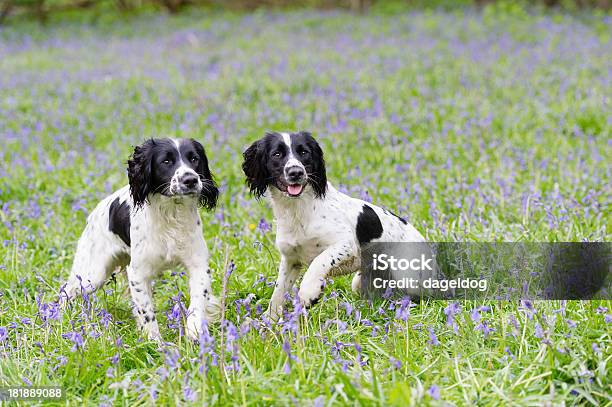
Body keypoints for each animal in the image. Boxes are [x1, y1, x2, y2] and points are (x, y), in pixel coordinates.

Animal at [61, 139, 220, 342]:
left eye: (194, 158)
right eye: (166, 161)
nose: (190, 180)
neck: (171, 215)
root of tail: (94, 212)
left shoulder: (198, 265)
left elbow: (197, 303)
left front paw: (194, 333)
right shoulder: (138, 273)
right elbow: (147, 313)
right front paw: (155, 343)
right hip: (93, 274)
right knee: (66, 291)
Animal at [241, 132, 428, 320]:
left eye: (304, 152)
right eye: (277, 154)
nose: (296, 172)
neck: (299, 210)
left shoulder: (346, 245)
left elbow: (320, 261)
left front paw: (309, 292)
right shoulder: (290, 259)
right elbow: (278, 292)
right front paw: (269, 320)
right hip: (359, 282)